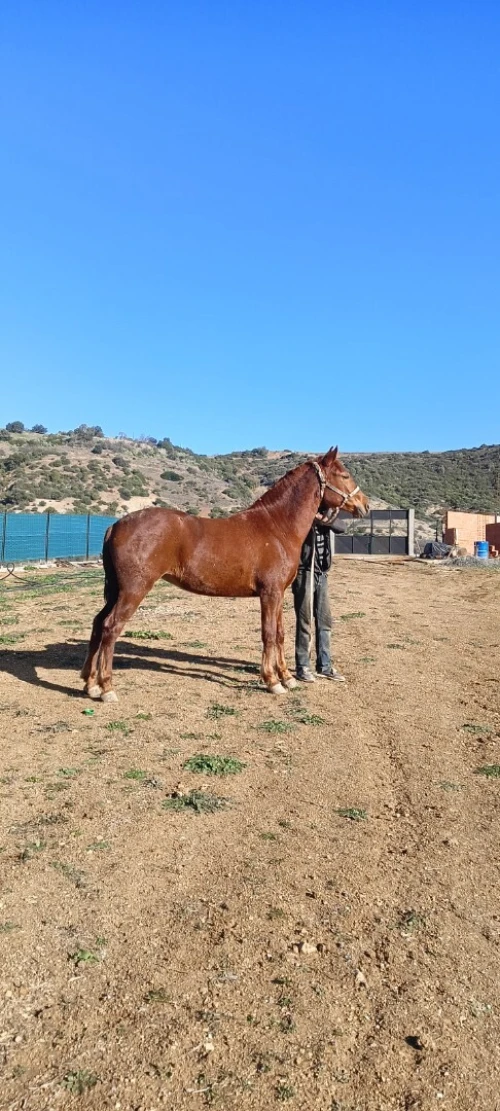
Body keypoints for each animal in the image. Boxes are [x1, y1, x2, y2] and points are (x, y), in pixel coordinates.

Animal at [81, 447, 369, 701]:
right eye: (344, 475)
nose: (364, 505)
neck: (277, 526)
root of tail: (115, 526)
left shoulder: (278, 594)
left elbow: (279, 634)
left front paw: (287, 678)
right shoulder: (269, 593)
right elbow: (268, 634)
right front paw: (272, 682)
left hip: (117, 591)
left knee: (98, 623)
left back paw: (90, 684)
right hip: (134, 590)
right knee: (111, 627)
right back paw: (106, 688)